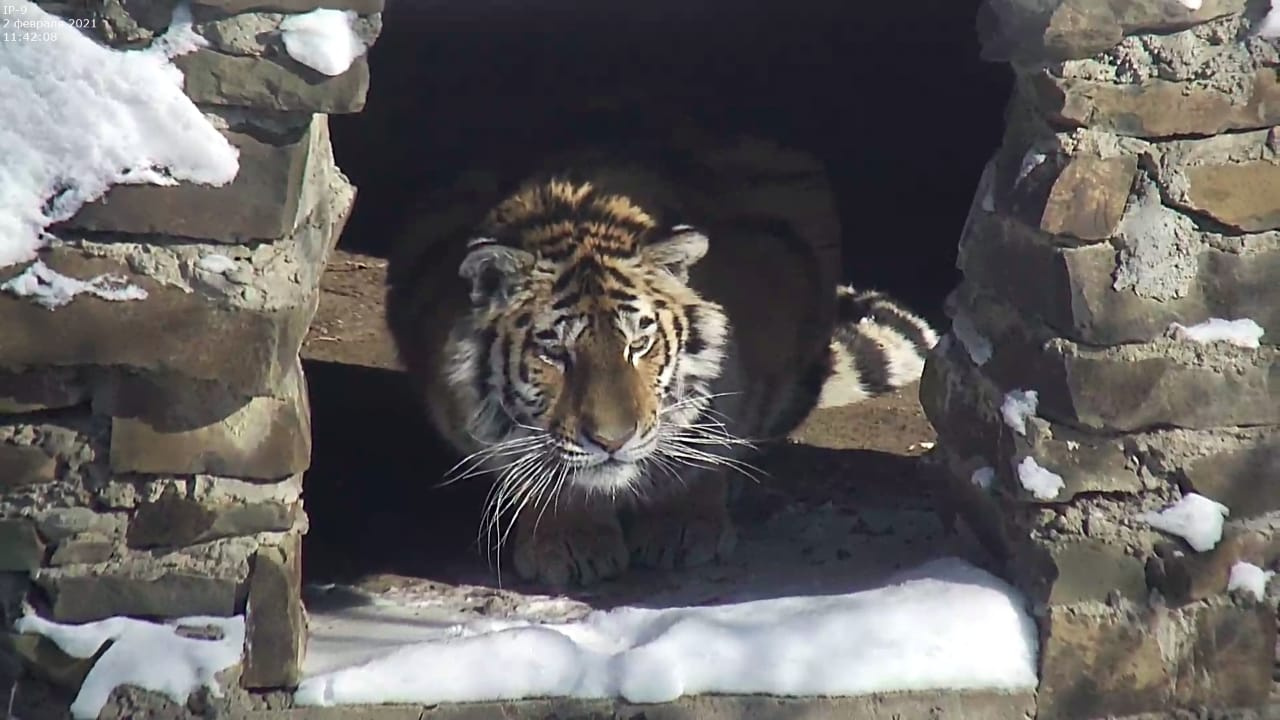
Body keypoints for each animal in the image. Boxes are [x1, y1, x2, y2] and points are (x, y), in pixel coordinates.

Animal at [384, 140, 936, 584]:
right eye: (555, 352)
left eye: (639, 344)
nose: (612, 442)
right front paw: (569, 542)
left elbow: (706, 442)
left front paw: (685, 528)